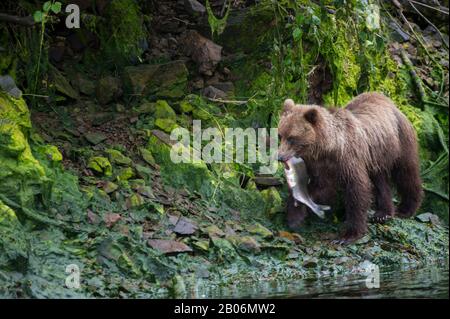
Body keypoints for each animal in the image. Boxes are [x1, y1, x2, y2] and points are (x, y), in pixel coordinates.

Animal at [280, 94, 424, 244]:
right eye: (280, 135)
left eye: (292, 138)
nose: (280, 157)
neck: (328, 148)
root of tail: (390, 102)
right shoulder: (320, 167)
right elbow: (319, 188)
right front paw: (294, 217)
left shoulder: (348, 159)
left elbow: (357, 190)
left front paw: (348, 235)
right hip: (375, 156)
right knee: (381, 182)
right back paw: (383, 213)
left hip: (400, 140)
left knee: (406, 173)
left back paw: (406, 208)